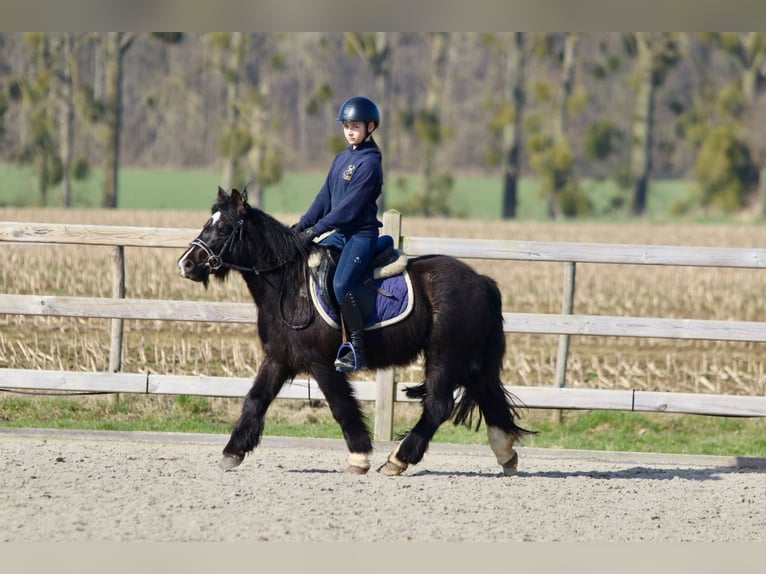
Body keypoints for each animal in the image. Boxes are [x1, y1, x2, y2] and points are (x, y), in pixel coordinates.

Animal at [178, 189, 536, 476]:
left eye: (223, 227)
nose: (186, 264)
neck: (288, 284)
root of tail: (482, 282)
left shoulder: (321, 362)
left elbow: (341, 406)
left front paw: (359, 456)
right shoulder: (279, 357)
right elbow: (255, 400)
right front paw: (232, 452)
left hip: (445, 355)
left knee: (438, 405)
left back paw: (398, 459)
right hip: (471, 359)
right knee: (488, 397)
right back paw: (506, 455)